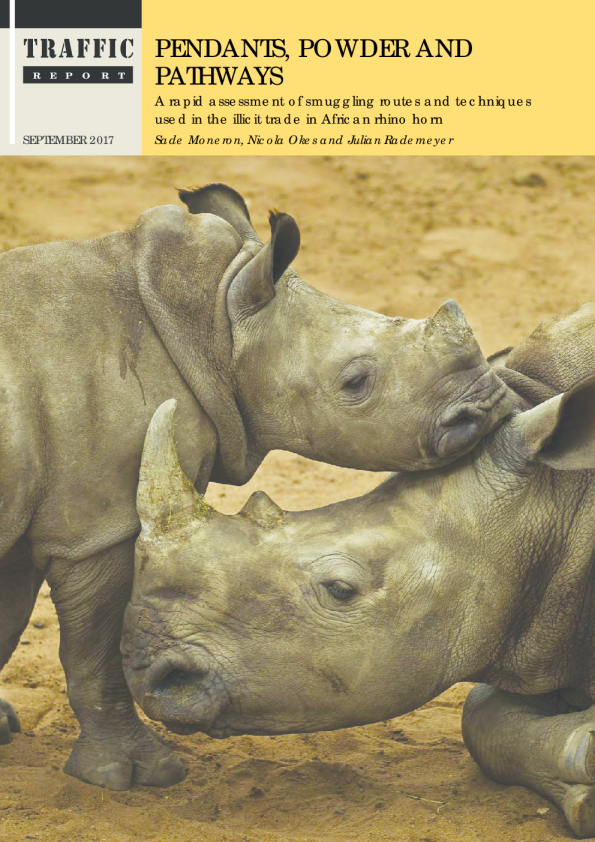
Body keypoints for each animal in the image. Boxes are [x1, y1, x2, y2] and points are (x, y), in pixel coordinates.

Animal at [0, 184, 511, 791]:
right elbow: (94, 649)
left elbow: (7, 620)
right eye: (355, 382)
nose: (490, 402)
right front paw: (136, 775)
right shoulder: (95, 525)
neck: (217, 324)